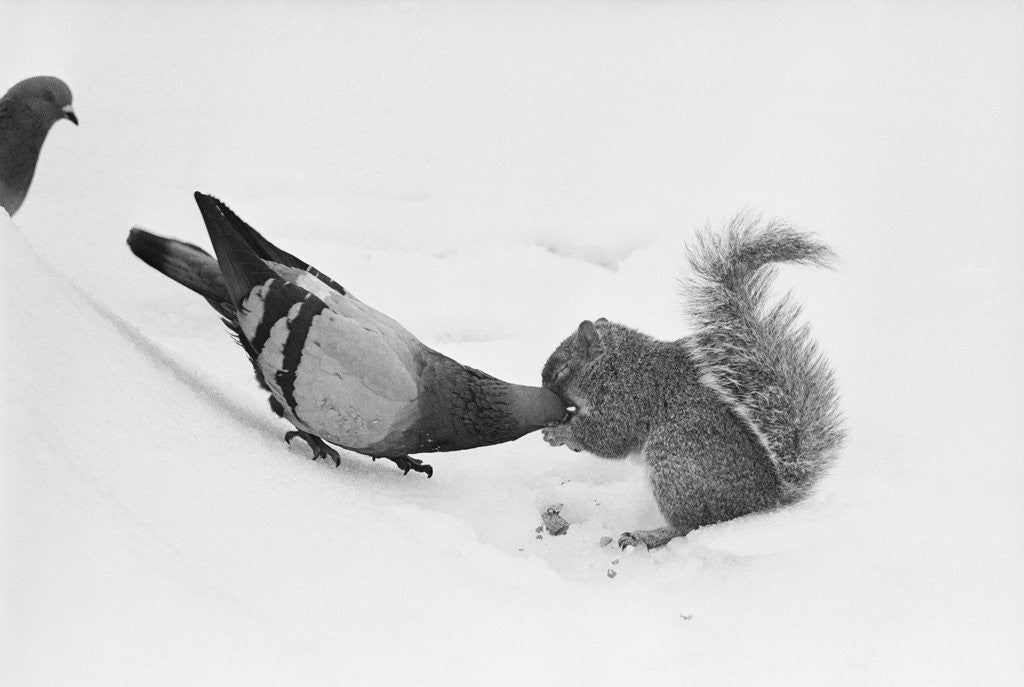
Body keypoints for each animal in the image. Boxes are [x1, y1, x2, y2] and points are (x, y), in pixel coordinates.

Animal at [540, 215, 845, 549]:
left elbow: (609, 435)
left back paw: (649, 535)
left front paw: (561, 433)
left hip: (674, 457)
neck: (616, 363)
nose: (543, 388)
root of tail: (766, 500)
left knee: (689, 524)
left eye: (561, 370)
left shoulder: (627, 397)